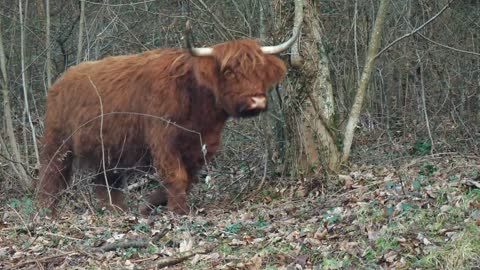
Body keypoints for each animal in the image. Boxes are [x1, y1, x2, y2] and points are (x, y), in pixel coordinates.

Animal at [37, 26, 298, 215]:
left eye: (259, 71)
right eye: (228, 72)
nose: (257, 101)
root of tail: (61, 80)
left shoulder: (202, 144)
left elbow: (189, 178)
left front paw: (148, 205)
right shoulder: (163, 139)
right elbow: (176, 175)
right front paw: (177, 211)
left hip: (109, 149)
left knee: (106, 183)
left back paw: (118, 212)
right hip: (58, 143)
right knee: (51, 176)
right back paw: (47, 214)